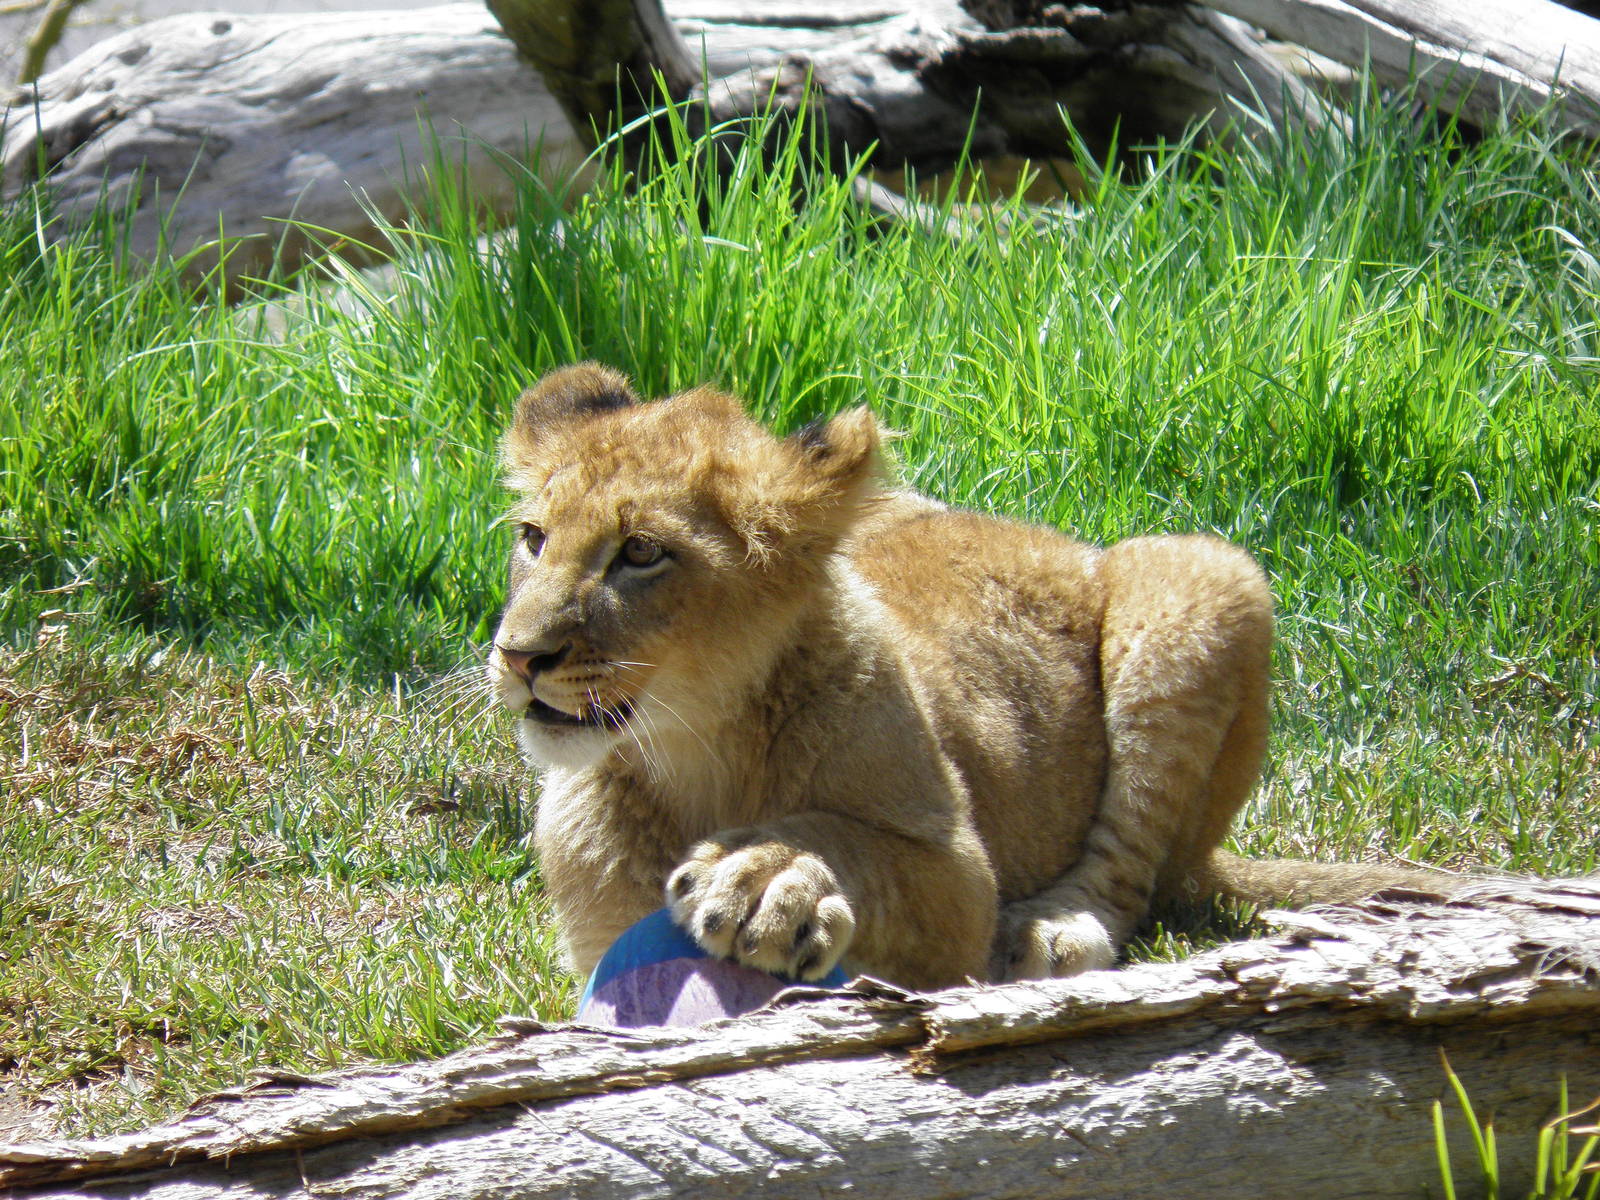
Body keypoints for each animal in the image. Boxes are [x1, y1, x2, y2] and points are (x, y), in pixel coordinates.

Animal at [486, 363, 1446, 990]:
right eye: (533, 538)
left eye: (642, 553)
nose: (518, 655)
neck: (695, 753)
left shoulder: (956, 876)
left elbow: (860, 844)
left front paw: (767, 877)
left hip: (1203, 578)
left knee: (1131, 873)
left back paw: (1052, 934)